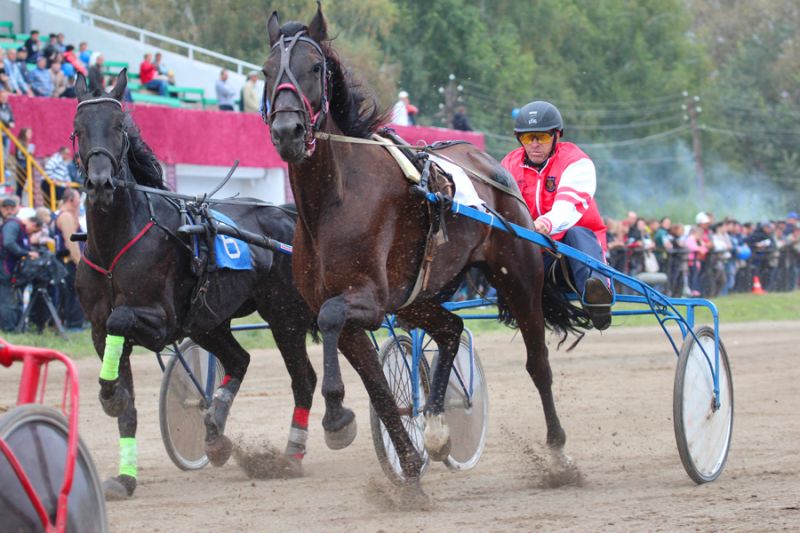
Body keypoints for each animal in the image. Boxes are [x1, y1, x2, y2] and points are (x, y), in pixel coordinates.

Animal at [73, 71, 317, 499]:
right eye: (78, 128)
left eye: (119, 126)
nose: (100, 183)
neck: (116, 241)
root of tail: (287, 215)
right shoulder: (99, 329)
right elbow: (127, 407)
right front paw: (124, 477)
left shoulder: (161, 319)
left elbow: (122, 320)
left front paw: (108, 394)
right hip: (208, 319)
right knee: (239, 360)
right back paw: (216, 434)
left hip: (284, 316)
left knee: (304, 380)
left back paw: (299, 449)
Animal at [262, 4, 590, 497]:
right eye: (266, 72)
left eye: (315, 68)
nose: (288, 131)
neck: (334, 200)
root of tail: (496, 170)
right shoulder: (362, 304)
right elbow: (380, 389)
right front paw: (411, 466)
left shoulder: (368, 299)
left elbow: (332, 320)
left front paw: (337, 417)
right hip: (418, 298)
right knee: (452, 329)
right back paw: (436, 429)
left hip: (518, 279)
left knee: (538, 364)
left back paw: (558, 455)